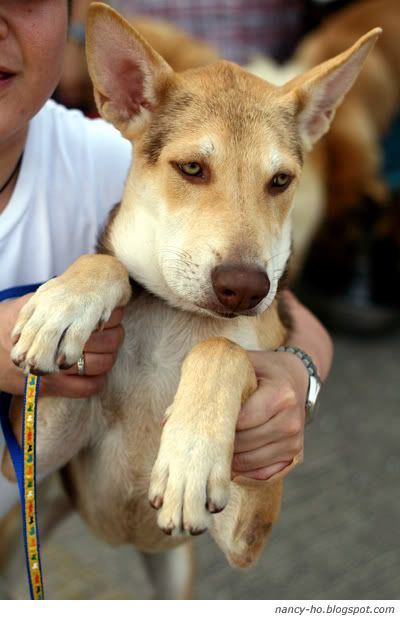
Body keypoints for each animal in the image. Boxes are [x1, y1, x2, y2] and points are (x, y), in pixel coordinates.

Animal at [1, 1, 380, 600]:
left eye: (280, 181)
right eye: (192, 168)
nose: (245, 287)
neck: (180, 316)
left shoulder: (249, 532)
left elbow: (222, 351)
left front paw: (190, 460)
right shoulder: (33, 457)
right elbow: (111, 264)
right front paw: (64, 306)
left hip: (175, 575)